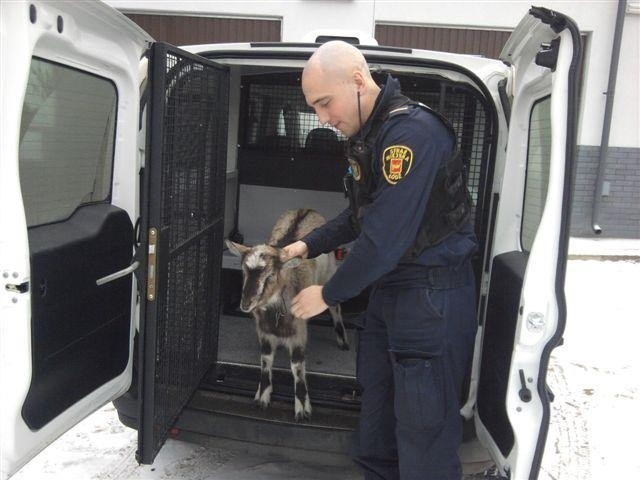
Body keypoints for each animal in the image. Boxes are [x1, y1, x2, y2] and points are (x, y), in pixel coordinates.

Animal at [222, 208, 348, 422]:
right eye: (244, 271)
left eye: (271, 276)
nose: (246, 304)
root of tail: (307, 209)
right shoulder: (263, 331)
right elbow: (265, 361)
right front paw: (262, 397)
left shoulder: (299, 332)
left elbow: (297, 367)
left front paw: (303, 409)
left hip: (329, 273)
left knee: (335, 307)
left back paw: (343, 341)